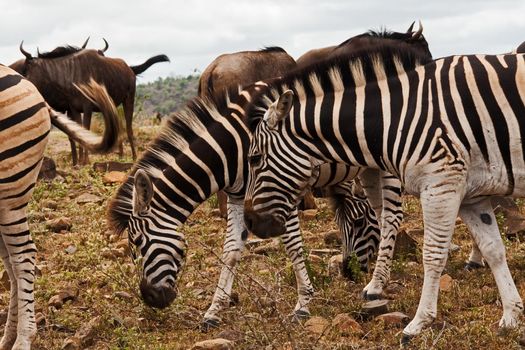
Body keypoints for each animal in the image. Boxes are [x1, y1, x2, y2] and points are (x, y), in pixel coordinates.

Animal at [243, 41, 525, 342]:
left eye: (255, 159)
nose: (250, 222)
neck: (397, 117)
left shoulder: (441, 185)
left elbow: (433, 255)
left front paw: (419, 323)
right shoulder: (471, 196)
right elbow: (494, 250)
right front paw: (510, 315)